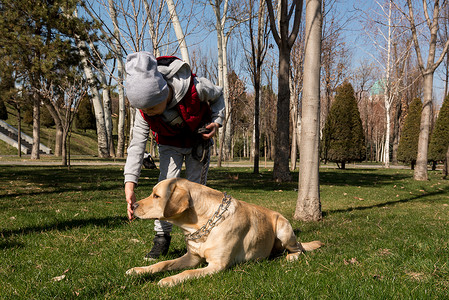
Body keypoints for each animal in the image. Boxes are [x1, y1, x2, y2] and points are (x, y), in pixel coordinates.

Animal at [126, 178, 322, 286]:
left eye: (156, 196)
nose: (133, 204)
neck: (203, 225)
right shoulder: (192, 258)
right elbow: (163, 263)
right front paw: (139, 270)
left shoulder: (216, 265)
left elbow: (187, 273)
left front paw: (169, 280)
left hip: (283, 229)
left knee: (299, 249)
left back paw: (290, 257)